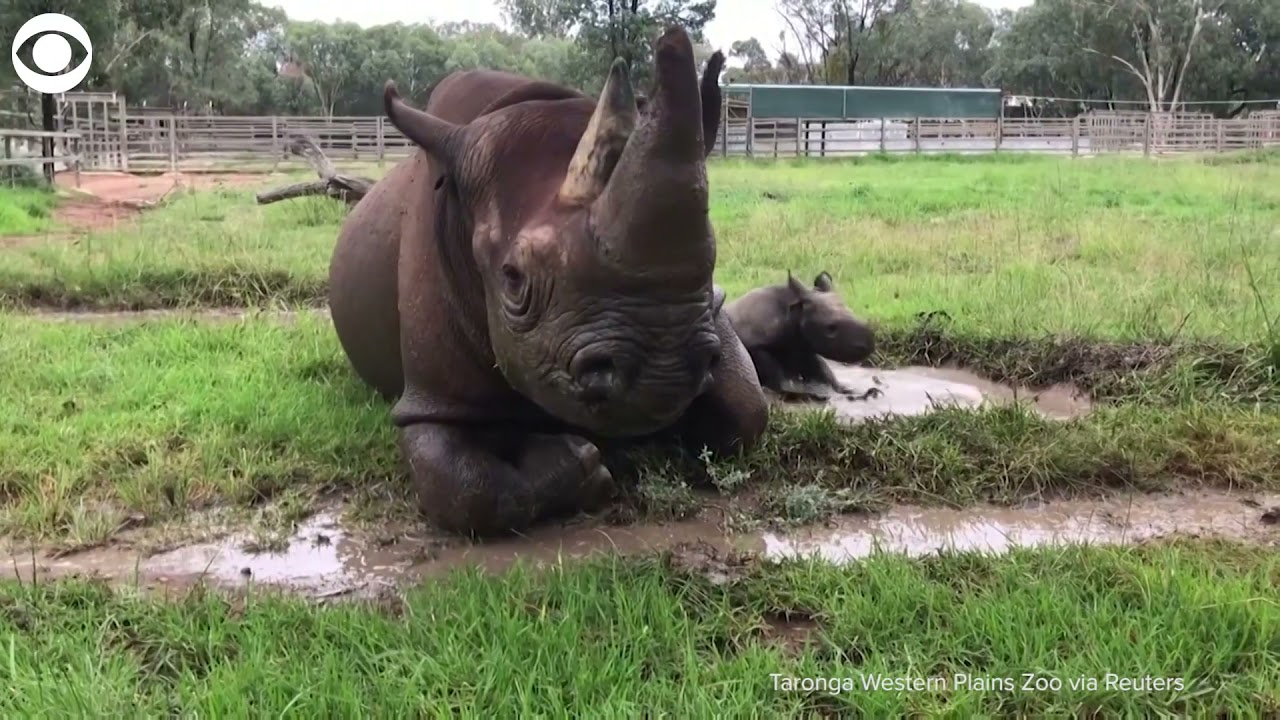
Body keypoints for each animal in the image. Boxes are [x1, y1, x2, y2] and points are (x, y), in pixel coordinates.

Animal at [327, 28, 766, 537]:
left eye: (712, 260)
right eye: (513, 280)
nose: (663, 372)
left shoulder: (709, 311)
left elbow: (749, 411)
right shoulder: (431, 394)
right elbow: (459, 485)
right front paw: (581, 464)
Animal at [725, 270, 879, 402]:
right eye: (830, 329)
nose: (868, 346)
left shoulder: (802, 345)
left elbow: (821, 370)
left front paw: (856, 392)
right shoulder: (757, 347)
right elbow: (778, 378)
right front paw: (811, 395)